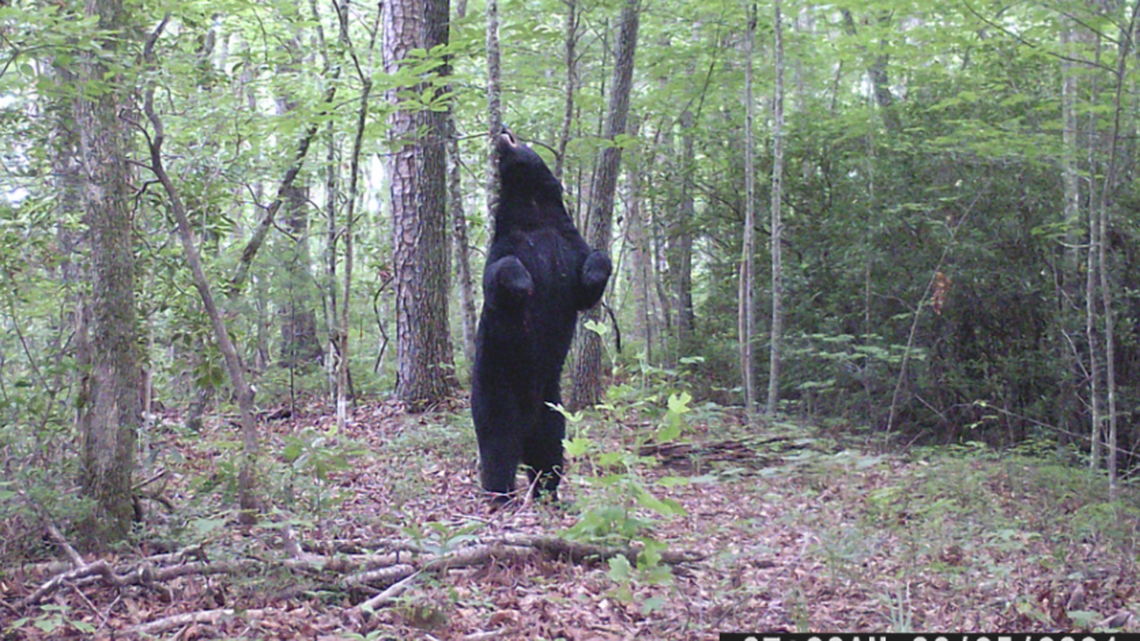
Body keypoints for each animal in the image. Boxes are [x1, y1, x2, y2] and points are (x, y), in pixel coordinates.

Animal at [471, 126, 612, 504]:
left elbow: (590, 277)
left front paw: (596, 269)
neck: (533, 209)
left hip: (552, 409)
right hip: (495, 386)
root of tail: (527, 420)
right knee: (498, 445)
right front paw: (523, 284)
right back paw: (500, 495)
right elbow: (500, 273)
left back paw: (548, 494)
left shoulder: (568, 242)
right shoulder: (508, 244)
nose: (504, 130)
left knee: (549, 452)